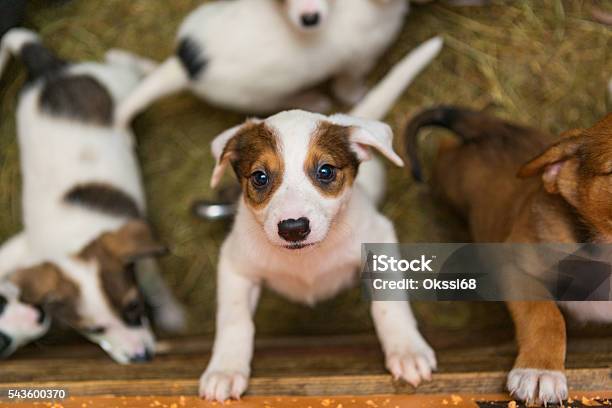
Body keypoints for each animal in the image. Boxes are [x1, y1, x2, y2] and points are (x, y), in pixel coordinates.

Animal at [0, 29, 184, 364]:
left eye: (134, 307)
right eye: (94, 330)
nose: (141, 357)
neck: (74, 239)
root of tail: (49, 71)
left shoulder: (142, 256)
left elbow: (155, 285)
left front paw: (172, 314)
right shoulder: (26, 248)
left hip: (118, 82)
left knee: (121, 60)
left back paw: (152, 67)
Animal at [115, 0, 412, 126]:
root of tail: (187, 66)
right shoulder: (356, 62)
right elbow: (348, 88)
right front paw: (358, 94)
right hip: (261, 96)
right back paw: (313, 100)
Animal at [198, 35, 442, 402]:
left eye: (325, 171)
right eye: (259, 177)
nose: (293, 228)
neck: (307, 260)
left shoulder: (380, 239)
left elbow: (389, 303)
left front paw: (406, 349)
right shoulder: (235, 263)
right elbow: (234, 319)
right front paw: (225, 369)